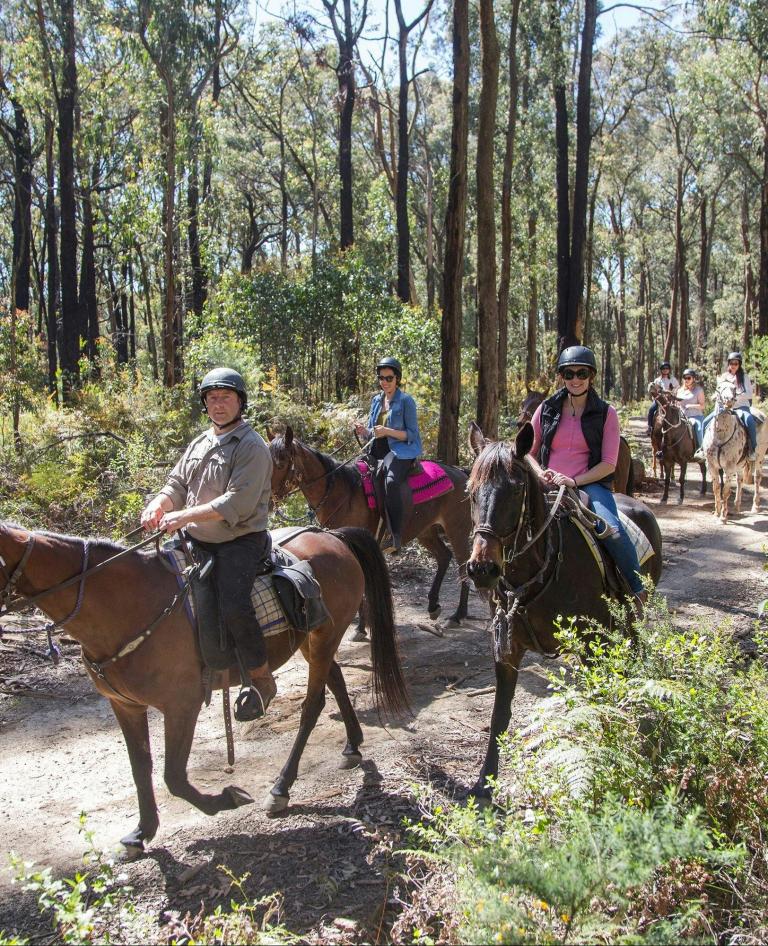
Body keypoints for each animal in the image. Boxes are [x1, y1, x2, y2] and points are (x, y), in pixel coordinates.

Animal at [0, 520, 408, 852]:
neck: (126, 608)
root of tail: (333, 536)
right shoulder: (126, 706)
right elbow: (140, 767)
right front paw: (142, 832)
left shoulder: (182, 705)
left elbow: (174, 777)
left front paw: (225, 799)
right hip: (313, 638)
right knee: (335, 681)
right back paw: (352, 745)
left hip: (322, 638)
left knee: (312, 706)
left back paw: (281, 788)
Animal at [270, 424, 474, 624]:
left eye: (280, 464)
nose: (270, 500)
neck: (342, 493)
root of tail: (461, 473)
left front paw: (361, 625)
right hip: (426, 531)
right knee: (444, 557)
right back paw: (433, 606)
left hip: (457, 530)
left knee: (463, 563)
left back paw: (459, 614)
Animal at [460, 424, 664, 800]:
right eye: (470, 491)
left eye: (517, 489)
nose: (482, 569)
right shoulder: (506, 649)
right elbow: (500, 715)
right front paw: (485, 781)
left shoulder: (589, 642)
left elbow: (597, 700)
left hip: (632, 618)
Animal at [704, 378, 764, 524]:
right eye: (719, 387)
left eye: (734, 388)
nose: (729, 399)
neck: (720, 435)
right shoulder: (712, 466)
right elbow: (716, 488)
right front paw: (716, 513)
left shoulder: (729, 467)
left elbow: (725, 491)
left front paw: (723, 517)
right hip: (740, 464)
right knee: (740, 480)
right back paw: (737, 507)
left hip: (759, 458)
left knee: (757, 478)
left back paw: (755, 506)